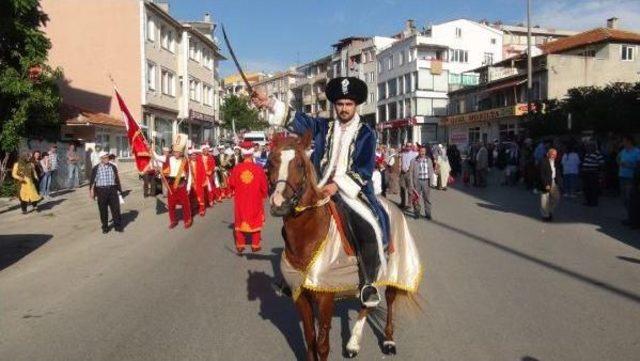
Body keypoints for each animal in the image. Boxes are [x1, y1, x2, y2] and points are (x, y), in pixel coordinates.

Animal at [266, 133, 420, 360]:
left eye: (300, 164)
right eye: (270, 163)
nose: (279, 204)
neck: (308, 237)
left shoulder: (325, 297)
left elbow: (322, 345)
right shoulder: (300, 295)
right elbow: (310, 341)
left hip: (397, 269)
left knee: (389, 300)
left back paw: (388, 340)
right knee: (367, 304)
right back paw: (353, 344)